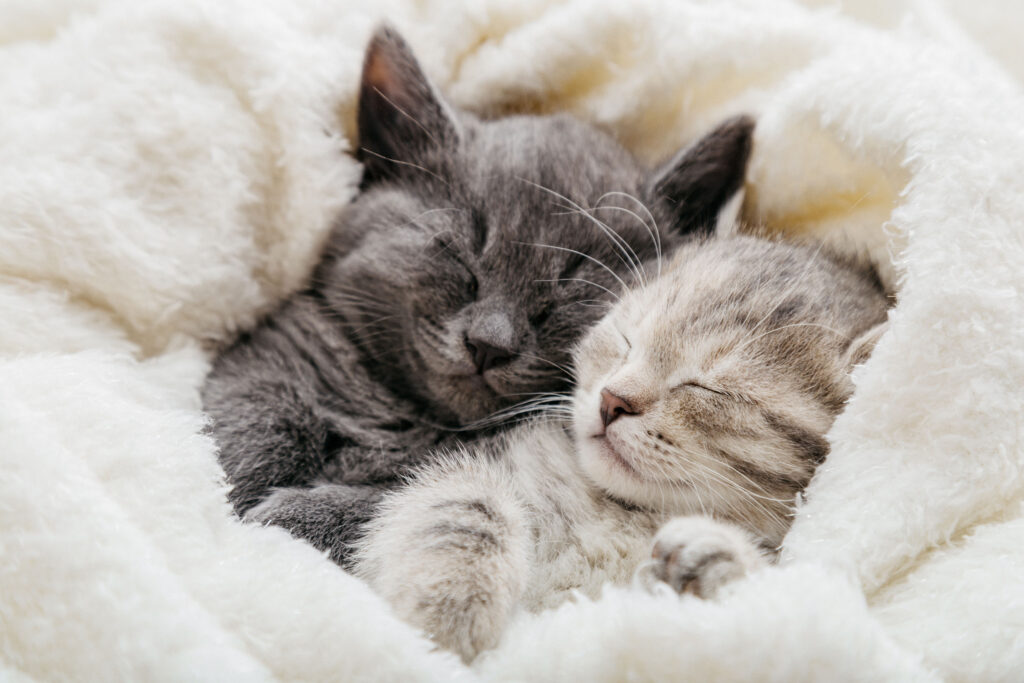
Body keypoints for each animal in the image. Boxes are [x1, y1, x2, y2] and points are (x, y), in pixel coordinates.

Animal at [197, 22, 753, 565]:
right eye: (459, 253)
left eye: (574, 284)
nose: (489, 343)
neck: (411, 422)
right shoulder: (280, 348)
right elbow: (245, 417)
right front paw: (239, 492)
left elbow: (398, 505)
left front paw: (279, 521)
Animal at [352, 229, 888, 663]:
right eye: (626, 339)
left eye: (710, 389)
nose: (612, 400)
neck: (625, 511)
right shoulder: (497, 460)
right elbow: (466, 503)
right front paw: (448, 605)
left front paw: (719, 564)